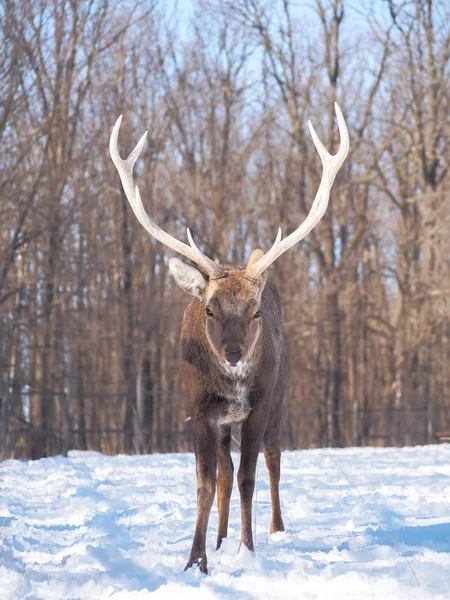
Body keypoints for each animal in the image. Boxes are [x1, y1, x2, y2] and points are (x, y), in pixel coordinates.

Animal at [109, 103, 348, 572]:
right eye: (209, 309)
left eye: (254, 311)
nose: (235, 353)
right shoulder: (199, 410)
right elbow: (206, 482)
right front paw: (196, 560)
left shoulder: (257, 407)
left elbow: (248, 478)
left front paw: (247, 549)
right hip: (223, 422)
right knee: (222, 473)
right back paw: (219, 541)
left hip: (279, 397)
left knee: (273, 458)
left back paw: (275, 529)